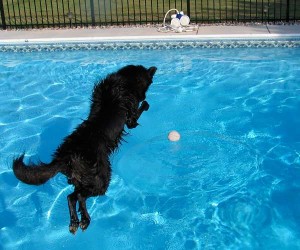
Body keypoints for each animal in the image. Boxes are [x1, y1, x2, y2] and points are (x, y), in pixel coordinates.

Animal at [12, 64, 157, 234]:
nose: (144, 95)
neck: (124, 81)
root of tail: (65, 157)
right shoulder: (130, 119)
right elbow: (138, 113)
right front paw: (146, 104)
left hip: (81, 180)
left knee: (71, 197)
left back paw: (75, 222)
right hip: (100, 179)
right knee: (80, 196)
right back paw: (85, 220)